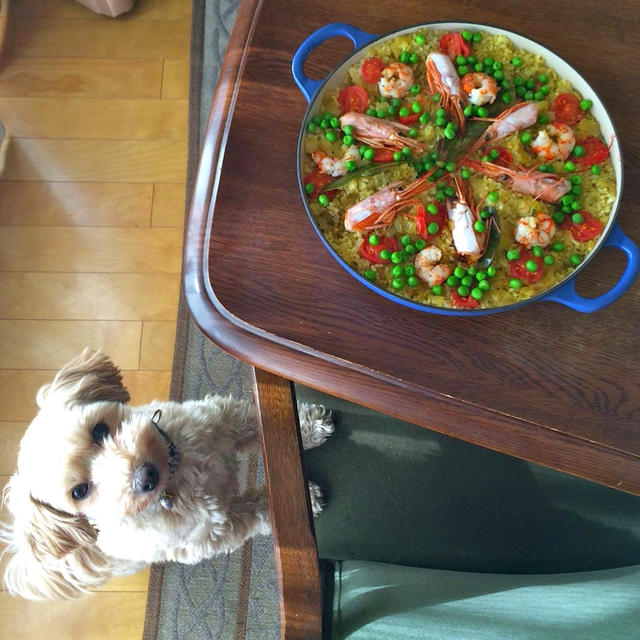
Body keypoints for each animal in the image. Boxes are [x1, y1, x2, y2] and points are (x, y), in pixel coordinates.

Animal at [1, 350, 336, 600]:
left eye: (99, 430)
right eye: (80, 491)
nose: (145, 476)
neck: (178, 471)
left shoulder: (223, 419)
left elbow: (255, 423)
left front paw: (308, 428)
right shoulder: (220, 526)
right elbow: (261, 508)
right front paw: (305, 497)